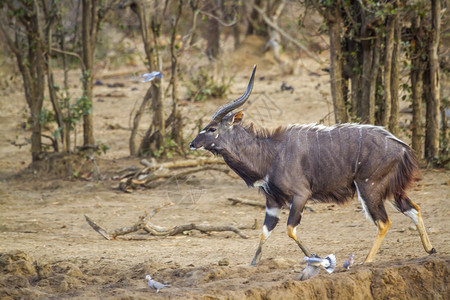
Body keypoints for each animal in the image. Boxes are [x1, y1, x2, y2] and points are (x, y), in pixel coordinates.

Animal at [189, 63, 436, 264]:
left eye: (211, 129)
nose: (192, 144)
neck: (270, 154)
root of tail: (402, 147)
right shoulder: (273, 201)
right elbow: (264, 232)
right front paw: (252, 264)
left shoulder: (300, 194)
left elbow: (290, 229)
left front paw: (317, 257)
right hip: (390, 191)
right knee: (414, 209)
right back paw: (430, 250)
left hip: (369, 188)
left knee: (384, 222)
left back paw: (367, 261)